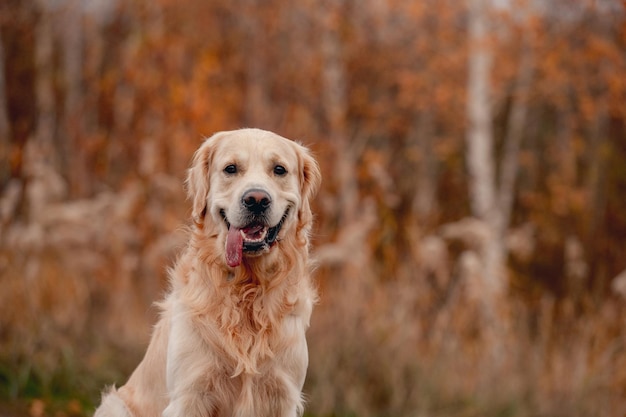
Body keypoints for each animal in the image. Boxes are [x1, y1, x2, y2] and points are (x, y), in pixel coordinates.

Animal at [94, 129, 320, 416]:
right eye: (230, 168)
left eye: (279, 169)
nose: (256, 200)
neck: (246, 289)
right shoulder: (189, 395)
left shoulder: (282, 395)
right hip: (115, 405)